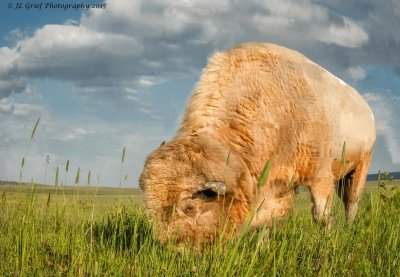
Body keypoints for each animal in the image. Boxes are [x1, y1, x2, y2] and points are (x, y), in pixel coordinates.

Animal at [139, 42, 376, 243]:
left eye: (190, 207)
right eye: (151, 207)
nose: (169, 246)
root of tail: (367, 110)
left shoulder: (320, 176)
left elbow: (321, 215)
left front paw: (327, 241)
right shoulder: (274, 183)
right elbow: (269, 219)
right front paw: (263, 246)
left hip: (360, 167)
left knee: (351, 201)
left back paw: (349, 227)